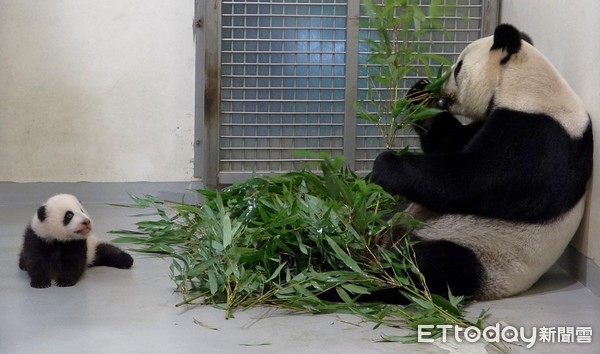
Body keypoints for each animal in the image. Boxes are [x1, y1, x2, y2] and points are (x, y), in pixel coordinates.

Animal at [372, 23, 592, 300]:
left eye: (458, 68)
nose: (442, 90)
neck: (526, 86)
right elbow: (449, 143)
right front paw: (422, 97)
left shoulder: (540, 137)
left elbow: (468, 180)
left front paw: (385, 164)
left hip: (482, 253)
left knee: (429, 266)